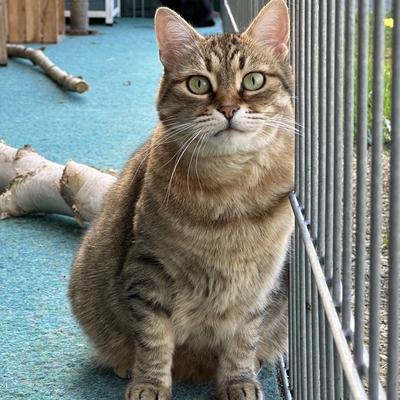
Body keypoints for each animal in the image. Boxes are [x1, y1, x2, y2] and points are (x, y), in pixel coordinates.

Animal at [69, 1, 294, 398]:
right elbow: (154, 340)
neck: (227, 192)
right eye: (198, 84)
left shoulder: (261, 286)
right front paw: (149, 383)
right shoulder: (147, 274)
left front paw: (239, 381)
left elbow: (243, 340)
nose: (228, 109)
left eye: (253, 80)